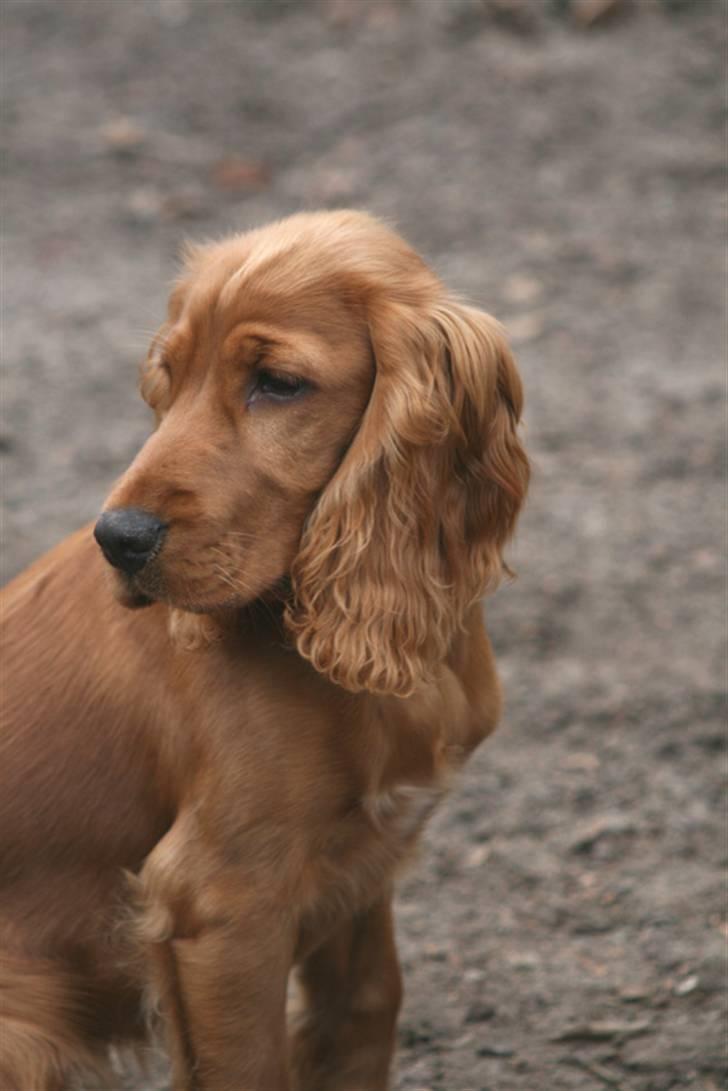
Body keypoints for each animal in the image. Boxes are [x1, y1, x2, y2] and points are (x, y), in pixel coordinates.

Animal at [0, 208, 530, 1086]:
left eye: (277, 383)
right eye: (169, 376)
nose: (119, 539)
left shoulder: (362, 861)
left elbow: (365, 1010)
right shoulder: (221, 901)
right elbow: (253, 1064)